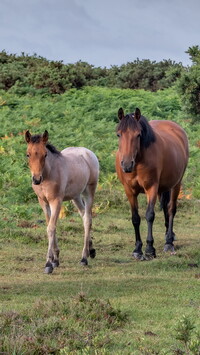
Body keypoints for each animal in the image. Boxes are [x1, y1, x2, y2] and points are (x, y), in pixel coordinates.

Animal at [25, 130, 99, 272]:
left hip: (89, 191)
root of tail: (88, 152)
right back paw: (90, 250)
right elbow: (49, 224)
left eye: (45, 154)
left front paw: (48, 263)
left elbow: (51, 228)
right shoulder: (43, 202)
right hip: (75, 196)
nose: (36, 179)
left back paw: (84, 258)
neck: (48, 174)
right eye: (28, 154)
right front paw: (55, 259)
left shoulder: (56, 201)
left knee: (88, 219)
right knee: (83, 215)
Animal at [115, 107, 189, 260]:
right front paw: (137, 249)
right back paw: (169, 236)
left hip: (176, 184)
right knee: (166, 207)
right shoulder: (129, 191)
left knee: (171, 209)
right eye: (119, 134)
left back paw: (169, 242)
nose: (127, 165)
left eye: (138, 135)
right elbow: (135, 218)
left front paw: (149, 249)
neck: (138, 161)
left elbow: (149, 215)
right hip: (163, 187)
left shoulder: (151, 188)